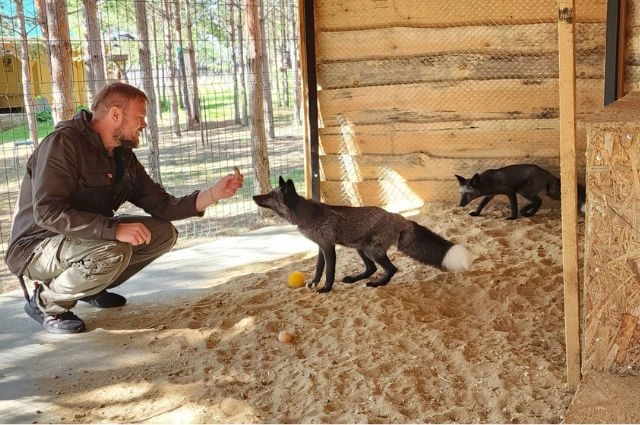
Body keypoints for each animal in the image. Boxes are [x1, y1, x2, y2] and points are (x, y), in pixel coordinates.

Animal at [252, 176, 472, 292]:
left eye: (270, 196)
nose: (254, 196)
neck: (308, 216)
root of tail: (400, 218)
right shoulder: (320, 247)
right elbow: (318, 269)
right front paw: (314, 283)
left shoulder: (329, 246)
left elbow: (329, 271)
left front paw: (326, 289)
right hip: (360, 248)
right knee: (372, 268)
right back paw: (355, 279)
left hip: (370, 249)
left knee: (391, 269)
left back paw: (377, 284)